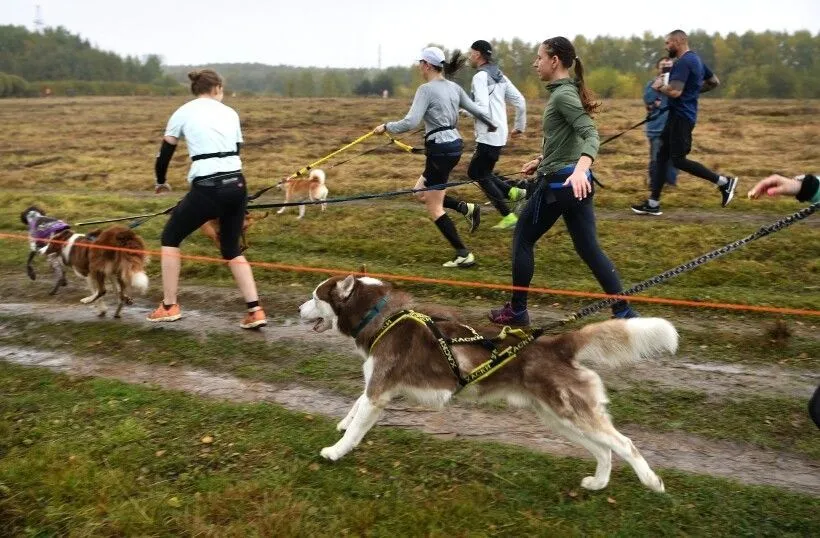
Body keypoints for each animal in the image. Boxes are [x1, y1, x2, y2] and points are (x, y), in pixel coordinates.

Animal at [298, 276, 676, 490]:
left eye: (315, 297)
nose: (299, 310)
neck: (383, 318)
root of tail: (557, 342)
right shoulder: (377, 386)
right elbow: (355, 404)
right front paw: (343, 422)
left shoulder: (379, 391)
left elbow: (356, 425)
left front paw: (336, 451)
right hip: (559, 420)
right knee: (604, 451)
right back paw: (598, 483)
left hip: (572, 415)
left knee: (625, 444)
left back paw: (651, 481)